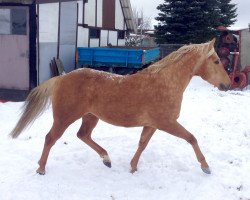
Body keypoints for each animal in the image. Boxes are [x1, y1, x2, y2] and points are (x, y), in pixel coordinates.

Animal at [10, 38, 230, 175]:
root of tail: (61, 78)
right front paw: (206, 167)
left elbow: (142, 144)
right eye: (216, 61)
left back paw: (106, 159)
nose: (227, 85)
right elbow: (191, 138)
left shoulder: (153, 124)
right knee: (50, 138)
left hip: (90, 116)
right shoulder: (167, 123)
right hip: (64, 117)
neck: (165, 82)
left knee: (83, 135)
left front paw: (132, 168)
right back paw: (41, 169)